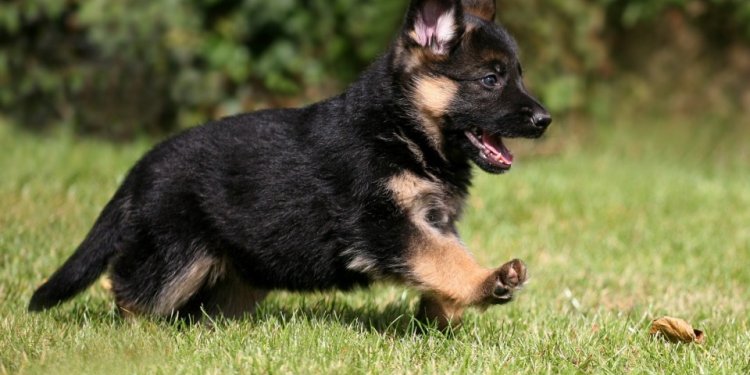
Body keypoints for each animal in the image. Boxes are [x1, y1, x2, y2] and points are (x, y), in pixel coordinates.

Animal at [29, 0, 552, 328]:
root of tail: (141, 167)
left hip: (237, 271)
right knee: (130, 291)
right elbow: (442, 258)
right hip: (176, 255)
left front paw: (443, 316)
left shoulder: (431, 220)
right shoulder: (384, 224)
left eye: (518, 75)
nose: (545, 120)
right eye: (490, 79)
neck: (399, 130)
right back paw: (139, 338)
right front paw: (487, 282)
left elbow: (444, 258)